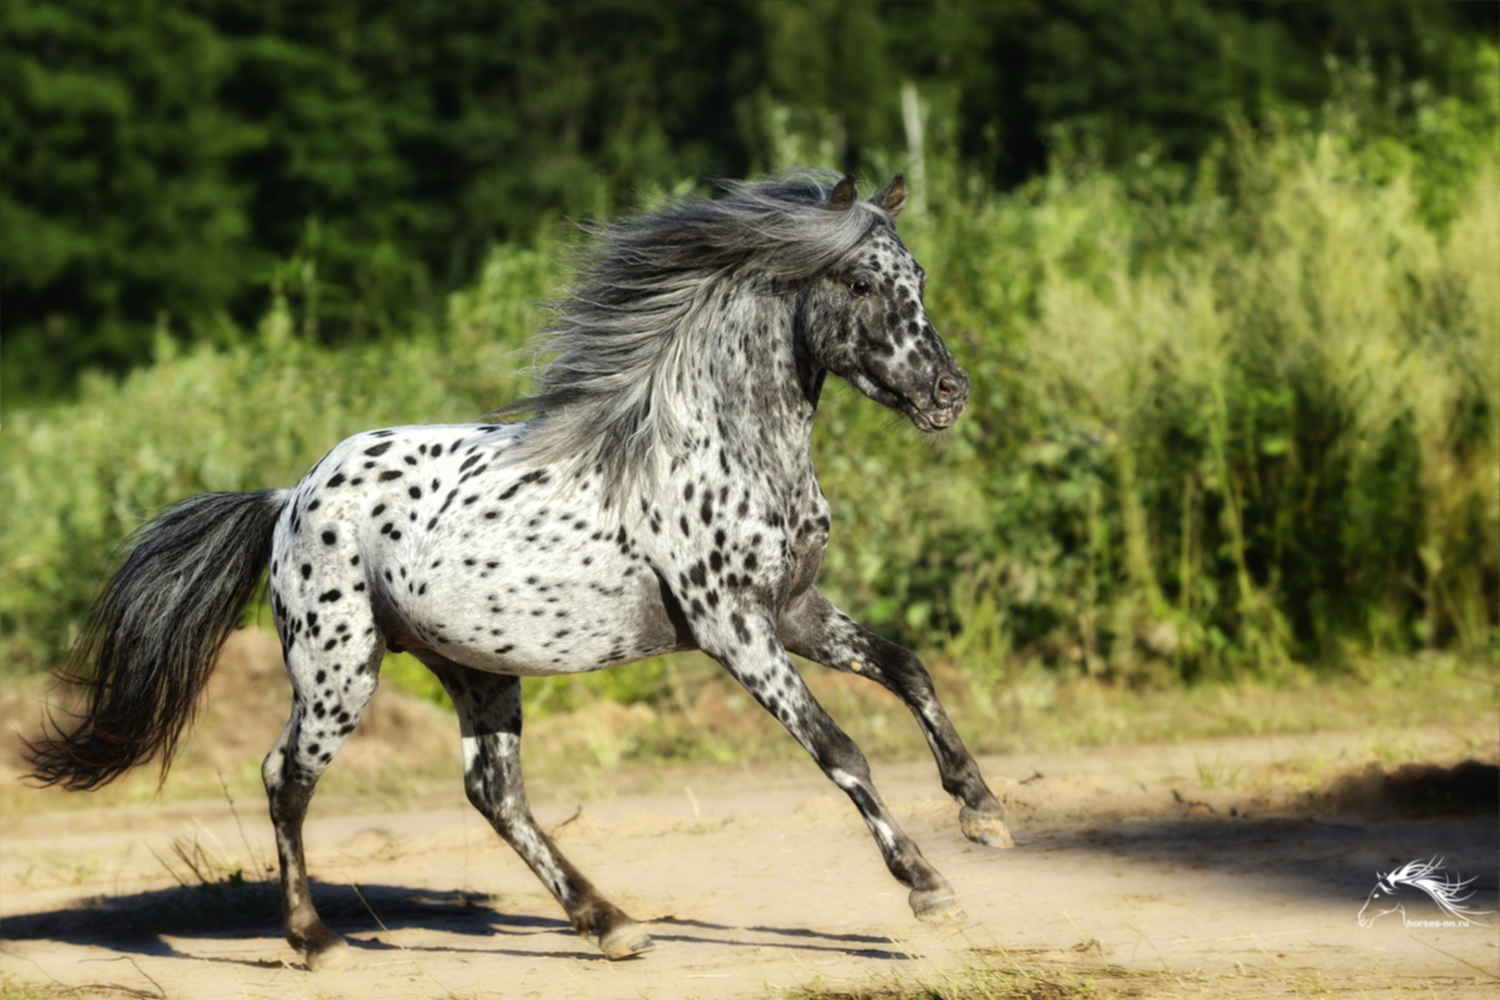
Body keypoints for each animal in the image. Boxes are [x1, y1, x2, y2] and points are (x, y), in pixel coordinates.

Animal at [29, 172, 1020, 971]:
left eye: (917, 278)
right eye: (859, 281)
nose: (949, 394)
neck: (721, 447)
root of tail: (291, 496)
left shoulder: (797, 609)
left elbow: (907, 670)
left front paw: (984, 813)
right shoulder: (734, 629)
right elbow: (838, 747)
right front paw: (927, 886)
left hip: (473, 667)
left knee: (493, 791)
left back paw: (611, 925)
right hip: (337, 670)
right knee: (286, 776)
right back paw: (315, 942)